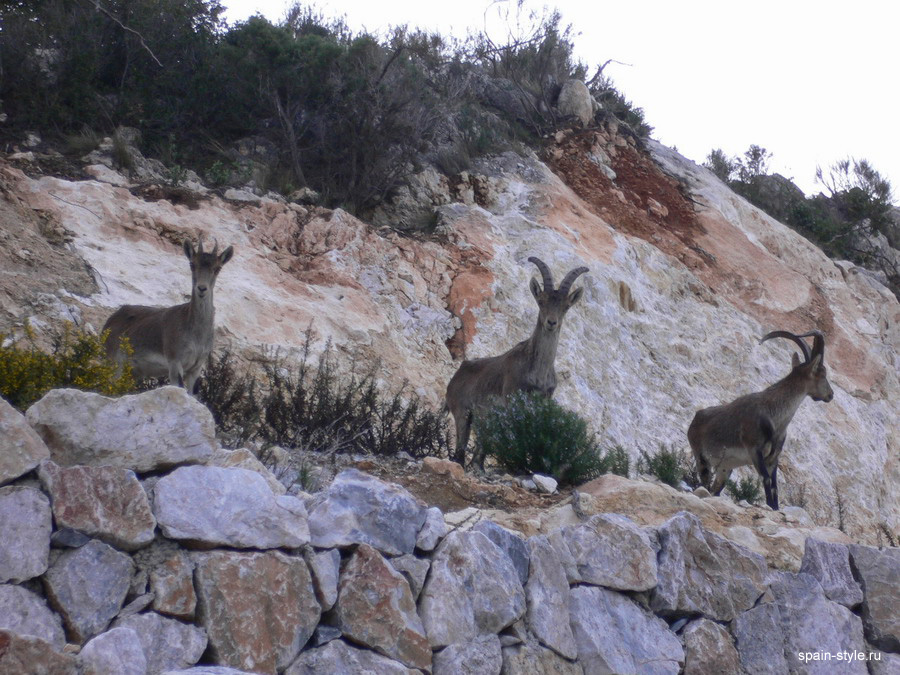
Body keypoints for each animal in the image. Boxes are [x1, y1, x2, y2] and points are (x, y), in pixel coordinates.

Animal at [103, 240, 234, 394]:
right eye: (192, 264)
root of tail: (108, 324)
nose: (202, 289)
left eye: (217, 268)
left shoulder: (196, 368)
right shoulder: (174, 361)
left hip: (132, 372)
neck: (194, 332)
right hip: (114, 363)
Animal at [444, 258, 588, 470]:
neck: (537, 371)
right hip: (462, 411)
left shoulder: (543, 401)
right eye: (541, 301)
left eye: (566, 306)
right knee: (461, 447)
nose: (551, 323)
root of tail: (455, 378)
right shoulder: (511, 398)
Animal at [688, 330, 836, 510]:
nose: (830, 394)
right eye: (822, 373)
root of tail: (695, 419)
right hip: (701, 459)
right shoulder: (754, 450)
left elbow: (774, 486)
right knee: (703, 481)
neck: (774, 416)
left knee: (715, 489)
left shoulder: (773, 458)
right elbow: (765, 479)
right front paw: (770, 506)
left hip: (725, 469)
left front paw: (775, 507)